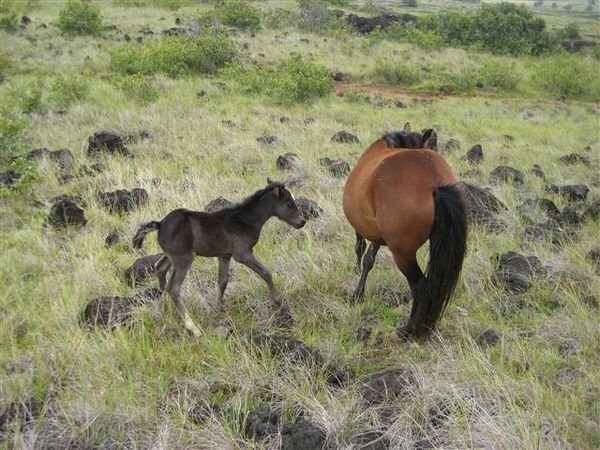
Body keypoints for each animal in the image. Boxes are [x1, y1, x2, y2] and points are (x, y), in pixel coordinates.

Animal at [344, 125, 466, 340]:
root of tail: (435, 182)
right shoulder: (378, 233)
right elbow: (369, 260)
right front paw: (359, 292)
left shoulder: (362, 227)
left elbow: (360, 248)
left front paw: (356, 285)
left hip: (403, 254)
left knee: (421, 287)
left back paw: (409, 330)